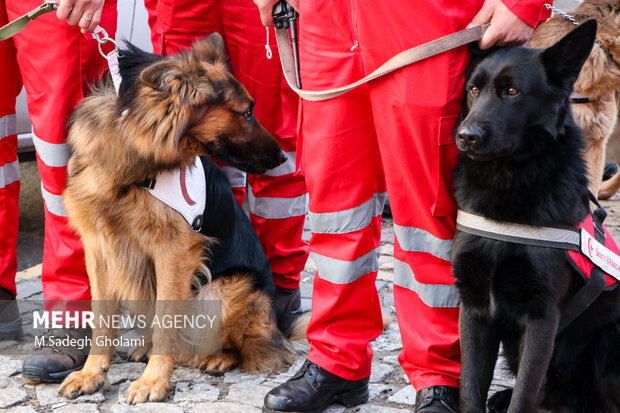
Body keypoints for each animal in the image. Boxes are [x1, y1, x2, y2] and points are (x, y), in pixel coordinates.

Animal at [57, 34, 304, 402]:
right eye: (246, 113)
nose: (284, 157)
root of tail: (277, 321)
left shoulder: (175, 252)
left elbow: (166, 321)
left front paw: (153, 382)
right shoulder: (99, 248)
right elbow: (101, 319)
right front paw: (91, 374)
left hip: (220, 291)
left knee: (250, 346)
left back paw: (218, 358)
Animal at [450, 20, 620, 412]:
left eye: (512, 91)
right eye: (474, 89)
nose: (465, 136)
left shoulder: (542, 319)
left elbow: (526, 394)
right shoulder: (474, 309)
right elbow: (469, 388)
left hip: (610, 342)